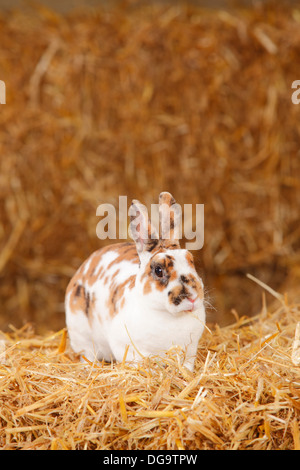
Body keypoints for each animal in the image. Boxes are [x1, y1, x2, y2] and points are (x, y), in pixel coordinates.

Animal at [65, 191, 206, 370]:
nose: (193, 298)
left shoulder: (190, 350)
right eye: (158, 270)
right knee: (87, 355)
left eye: (191, 260)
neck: (168, 315)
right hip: (81, 337)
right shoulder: (129, 349)